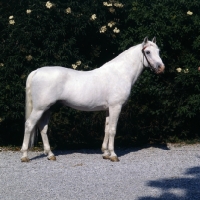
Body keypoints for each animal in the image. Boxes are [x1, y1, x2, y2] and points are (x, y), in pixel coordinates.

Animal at [20, 38, 165, 162]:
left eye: (158, 51)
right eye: (148, 52)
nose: (161, 68)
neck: (120, 73)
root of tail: (36, 71)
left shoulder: (108, 109)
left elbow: (106, 129)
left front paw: (105, 153)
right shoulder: (116, 107)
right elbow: (113, 130)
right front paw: (113, 155)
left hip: (48, 108)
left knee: (43, 128)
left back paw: (50, 154)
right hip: (39, 108)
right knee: (29, 125)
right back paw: (25, 155)